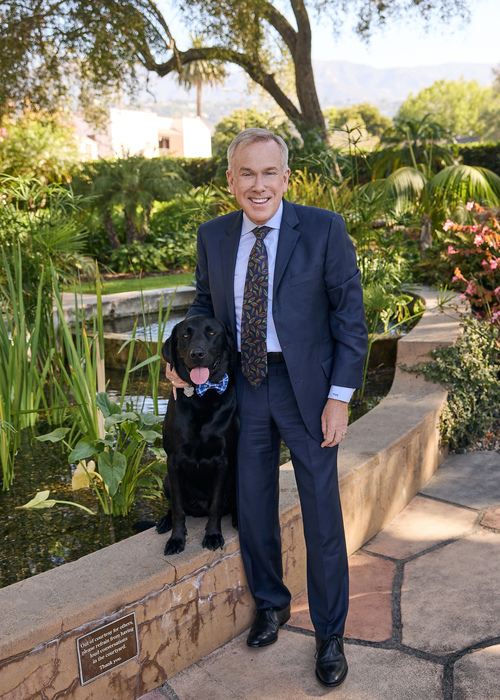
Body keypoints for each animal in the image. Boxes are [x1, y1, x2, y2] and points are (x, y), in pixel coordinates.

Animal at [159, 314, 239, 556]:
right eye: (185, 335)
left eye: (212, 332)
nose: (197, 354)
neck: (202, 397)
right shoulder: (174, 461)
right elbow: (177, 508)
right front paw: (176, 539)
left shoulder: (223, 460)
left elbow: (215, 505)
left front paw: (213, 535)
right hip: (166, 479)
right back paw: (164, 522)